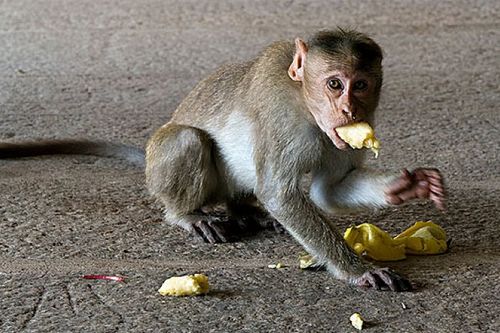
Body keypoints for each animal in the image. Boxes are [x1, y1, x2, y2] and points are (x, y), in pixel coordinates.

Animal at [0, 29, 446, 292]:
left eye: (362, 85)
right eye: (335, 84)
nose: (350, 111)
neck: (305, 103)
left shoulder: (340, 136)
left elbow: (329, 192)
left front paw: (408, 185)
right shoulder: (281, 116)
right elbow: (281, 194)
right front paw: (357, 270)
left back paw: (245, 209)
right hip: (164, 164)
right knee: (188, 140)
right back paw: (189, 215)